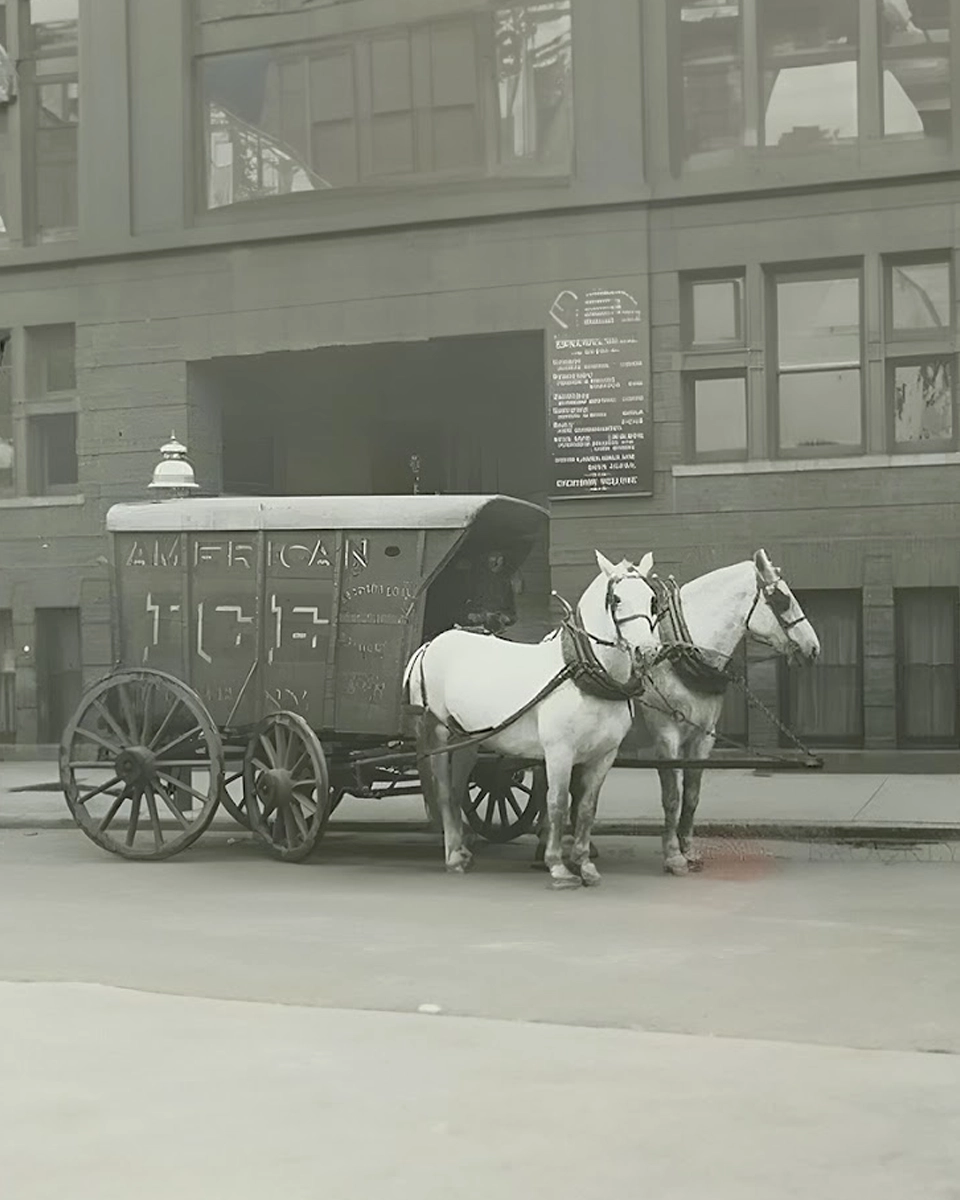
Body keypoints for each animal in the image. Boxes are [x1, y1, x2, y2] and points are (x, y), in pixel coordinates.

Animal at [400, 549, 662, 888]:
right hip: (439, 733)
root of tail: (430, 645)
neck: (583, 674)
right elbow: (557, 803)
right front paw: (558, 866)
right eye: (615, 599)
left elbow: (586, 808)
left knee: (457, 790)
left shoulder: (604, 755)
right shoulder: (559, 751)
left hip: (466, 737)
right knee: (445, 791)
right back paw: (453, 856)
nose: (649, 651)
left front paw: (585, 864)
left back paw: (462, 848)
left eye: (652, 599)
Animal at [633, 549, 820, 873]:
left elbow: (692, 794)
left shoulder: (702, 736)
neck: (676, 652)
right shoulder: (666, 734)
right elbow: (672, 796)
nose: (813, 647)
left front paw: (689, 849)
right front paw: (673, 856)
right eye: (782, 599)